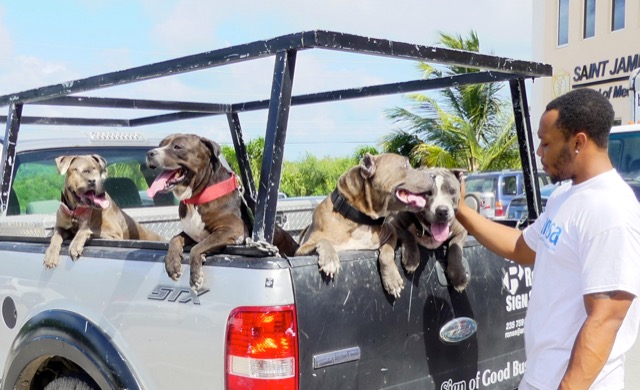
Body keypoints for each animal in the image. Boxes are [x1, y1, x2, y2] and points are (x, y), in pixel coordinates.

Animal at [296, 154, 430, 298]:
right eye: (405, 165)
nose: (432, 176)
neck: (360, 218)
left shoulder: (390, 233)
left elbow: (387, 253)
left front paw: (392, 279)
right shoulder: (301, 250)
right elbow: (323, 240)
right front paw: (330, 260)